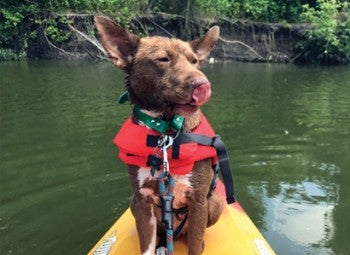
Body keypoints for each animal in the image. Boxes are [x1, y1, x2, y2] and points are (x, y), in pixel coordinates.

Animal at [93, 16, 224, 255]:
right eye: (163, 59)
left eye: (194, 61)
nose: (204, 85)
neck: (165, 132)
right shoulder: (142, 200)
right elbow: (146, 245)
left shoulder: (199, 201)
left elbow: (194, 245)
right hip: (133, 204)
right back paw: (164, 244)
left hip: (215, 204)